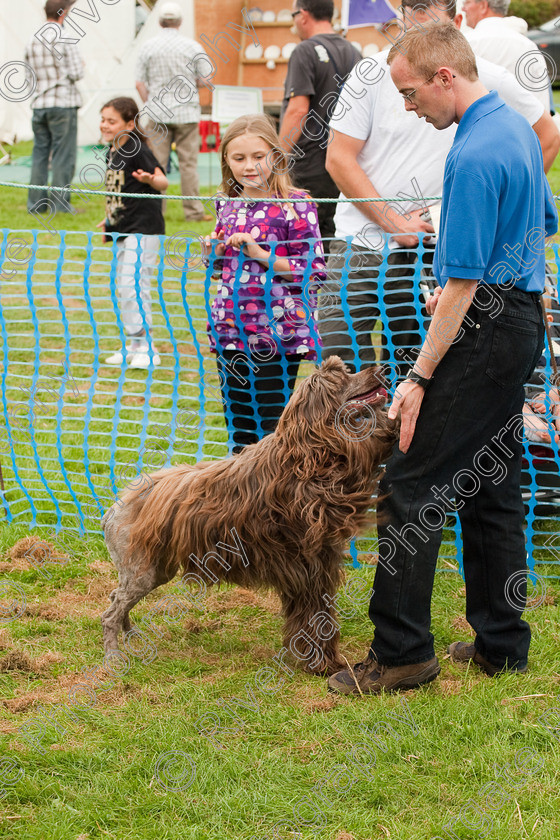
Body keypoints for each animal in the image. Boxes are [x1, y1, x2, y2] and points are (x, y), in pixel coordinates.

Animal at [101, 356, 398, 676]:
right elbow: (314, 616)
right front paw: (320, 664)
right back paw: (113, 657)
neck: (306, 456)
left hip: (154, 569)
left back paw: (130, 635)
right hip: (141, 571)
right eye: (341, 377)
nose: (383, 370)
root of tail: (114, 507)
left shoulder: (317, 563)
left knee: (116, 598)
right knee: (110, 612)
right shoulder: (308, 565)